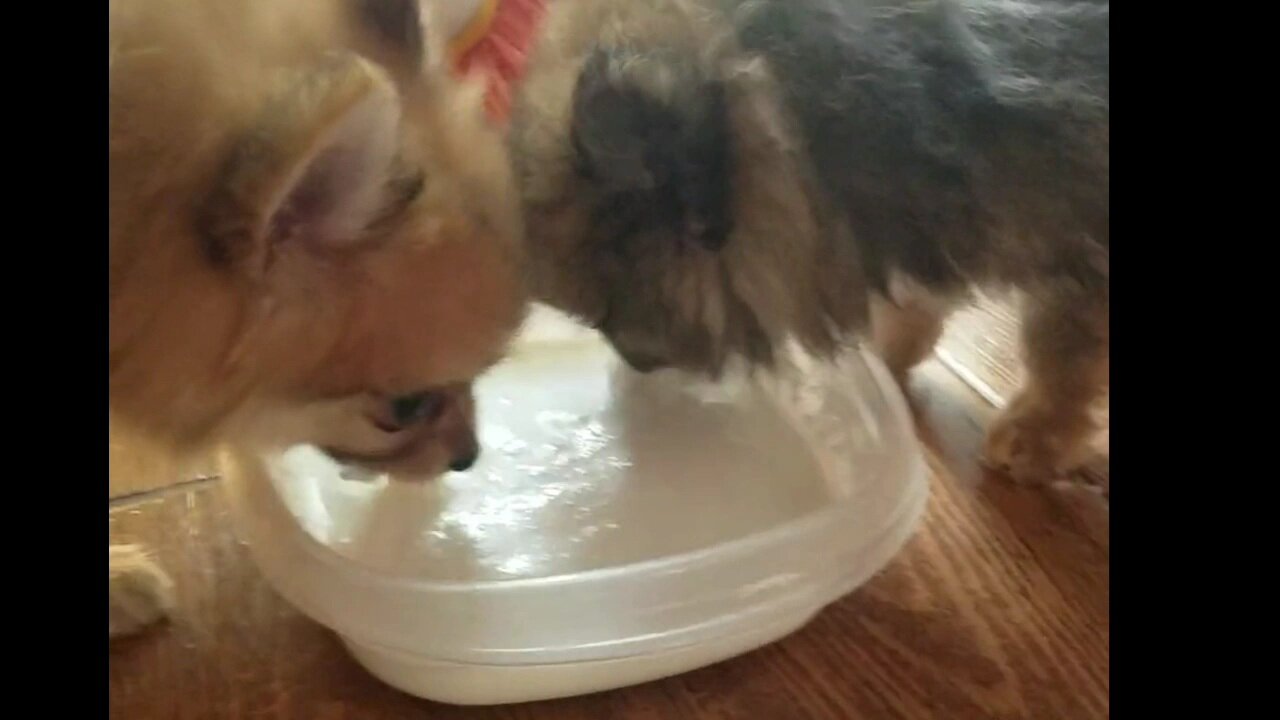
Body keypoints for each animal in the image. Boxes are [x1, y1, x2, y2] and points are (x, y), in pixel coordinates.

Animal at [504, 0, 1105, 481]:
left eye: (608, 310)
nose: (631, 360)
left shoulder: (1081, 237)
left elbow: (1061, 348)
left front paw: (1038, 430)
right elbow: (918, 296)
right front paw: (890, 349)